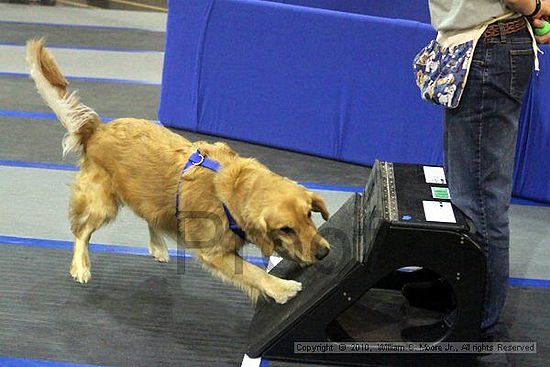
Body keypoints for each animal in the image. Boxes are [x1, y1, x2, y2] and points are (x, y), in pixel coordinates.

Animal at [25, 39, 332, 304]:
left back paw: (158, 245)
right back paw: (81, 265)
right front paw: (281, 288)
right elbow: (252, 272)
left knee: (150, 215)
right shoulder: (212, 251)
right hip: (102, 204)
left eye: (309, 215)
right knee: (81, 231)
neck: (233, 189)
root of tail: (97, 129)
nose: (323, 253)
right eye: (285, 228)